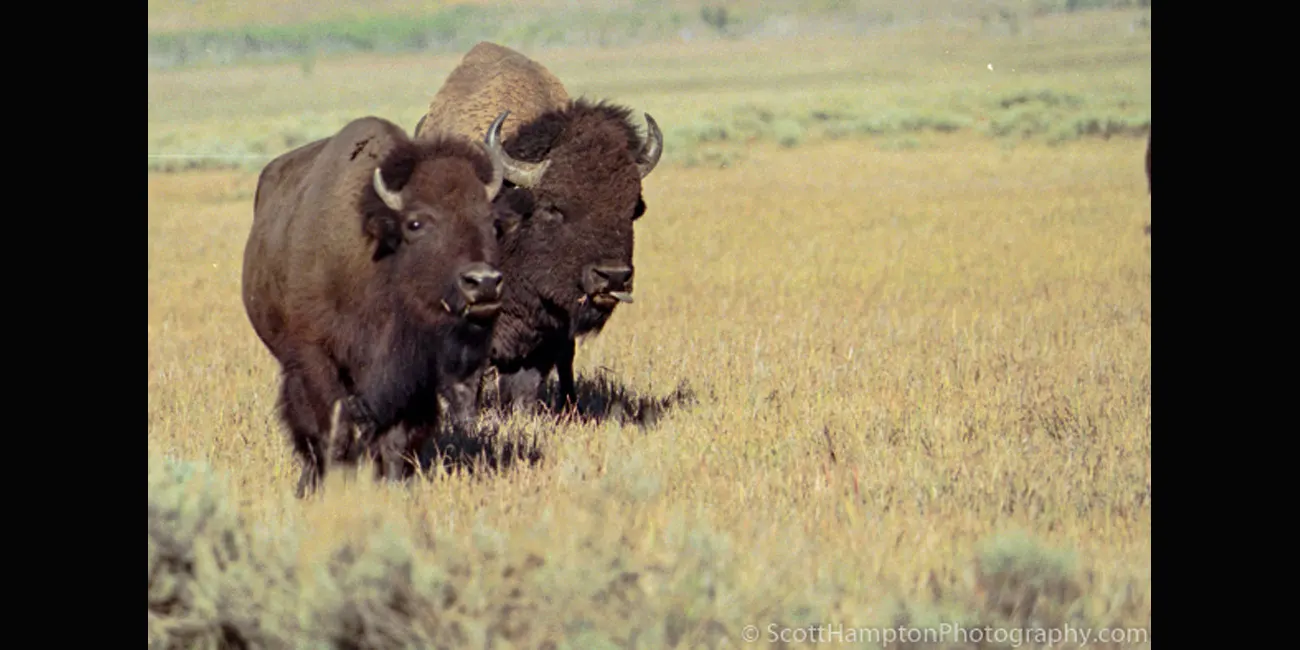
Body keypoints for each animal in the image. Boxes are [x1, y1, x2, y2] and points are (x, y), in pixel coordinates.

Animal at [241, 114, 511, 497]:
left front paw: (395, 487)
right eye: (415, 223)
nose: (484, 283)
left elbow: (398, 438)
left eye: (492, 222)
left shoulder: (414, 373)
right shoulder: (315, 359)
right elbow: (333, 430)